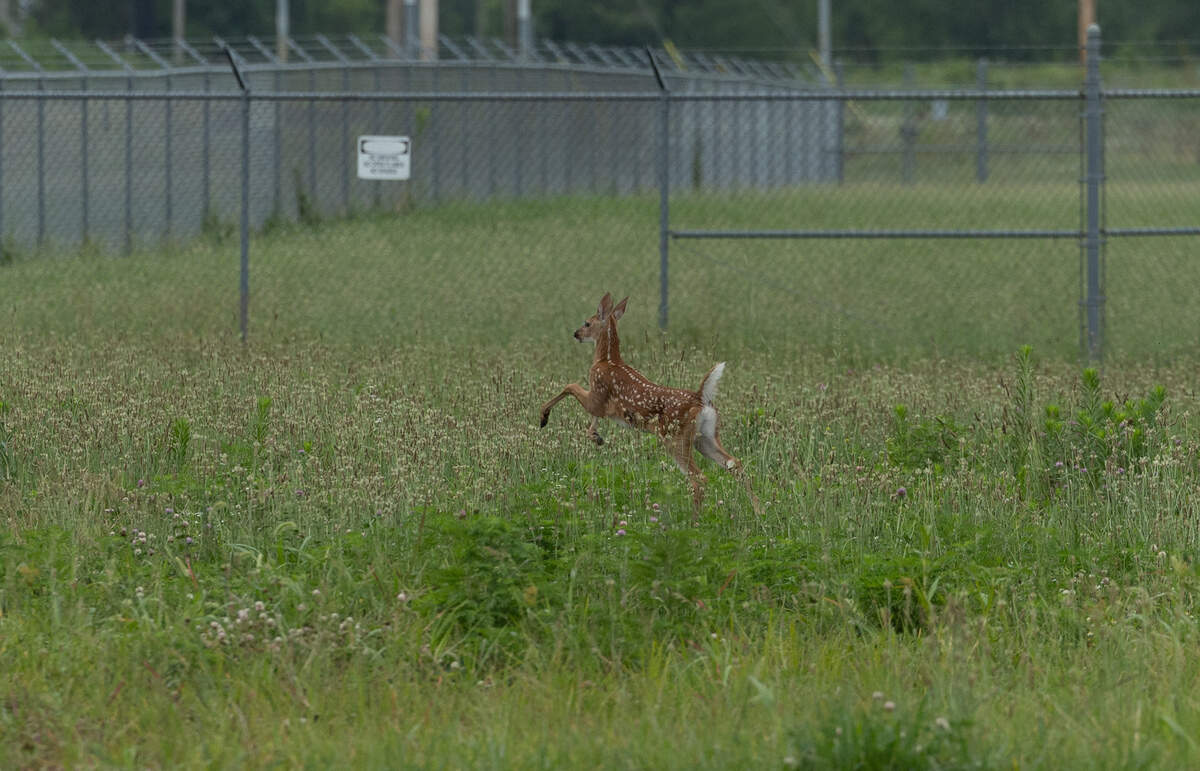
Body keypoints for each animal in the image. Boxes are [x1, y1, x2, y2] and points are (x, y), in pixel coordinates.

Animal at [538, 292, 758, 523]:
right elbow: (588, 416)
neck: (606, 360)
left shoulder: (597, 395)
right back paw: (758, 511)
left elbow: (570, 386)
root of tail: (701, 398)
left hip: (674, 438)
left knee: (700, 478)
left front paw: (544, 416)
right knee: (735, 463)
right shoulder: (600, 405)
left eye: (587, 322)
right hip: (705, 437)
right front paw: (596, 437)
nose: (576, 334)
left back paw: (694, 522)